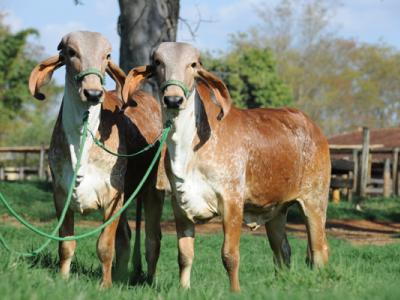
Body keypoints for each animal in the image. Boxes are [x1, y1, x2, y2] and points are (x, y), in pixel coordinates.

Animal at [28, 31, 164, 288]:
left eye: (107, 55)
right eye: (71, 52)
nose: (93, 93)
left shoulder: (113, 198)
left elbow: (104, 246)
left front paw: (105, 286)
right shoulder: (60, 195)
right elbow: (66, 244)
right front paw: (63, 278)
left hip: (152, 190)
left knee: (153, 239)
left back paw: (149, 281)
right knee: (126, 236)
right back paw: (121, 276)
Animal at [122, 41, 332, 292]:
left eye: (193, 64)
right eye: (158, 62)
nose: (173, 99)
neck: (188, 147)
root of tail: (315, 129)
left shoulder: (232, 202)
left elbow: (229, 255)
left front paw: (235, 290)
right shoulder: (180, 204)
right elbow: (184, 255)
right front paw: (184, 289)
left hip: (314, 202)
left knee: (319, 250)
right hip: (277, 211)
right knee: (282, 250)